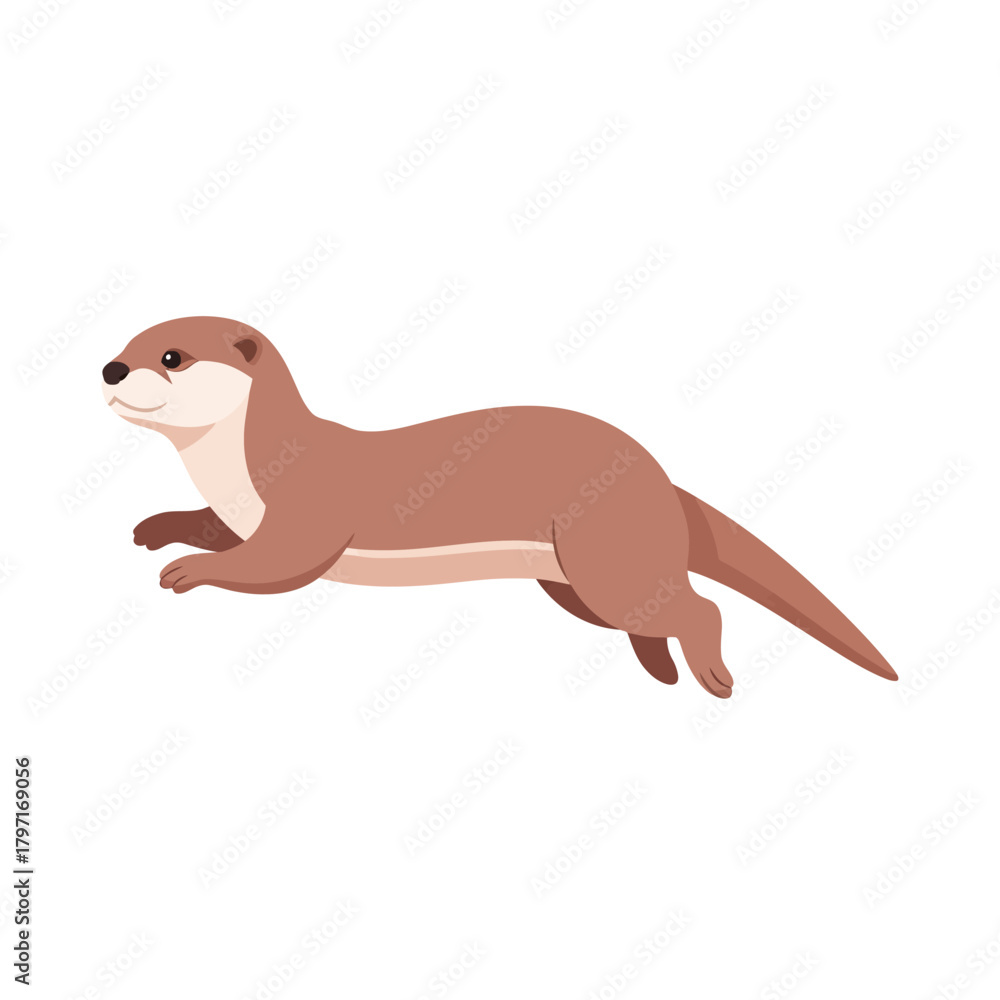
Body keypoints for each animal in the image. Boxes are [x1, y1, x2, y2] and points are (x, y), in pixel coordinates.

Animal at [101, 316, 896, 698]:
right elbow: (211, 526)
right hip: (575, 580)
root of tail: (657, 477)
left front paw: (188, 571)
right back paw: (659, 671)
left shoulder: (306, 512)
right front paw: (155, 529)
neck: (240, 466)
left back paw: (712, 679)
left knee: (699, 607)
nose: (109, 368)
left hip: (608, 553)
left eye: (170, 356)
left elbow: (272, 564)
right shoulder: (239, 509)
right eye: (128, 342)